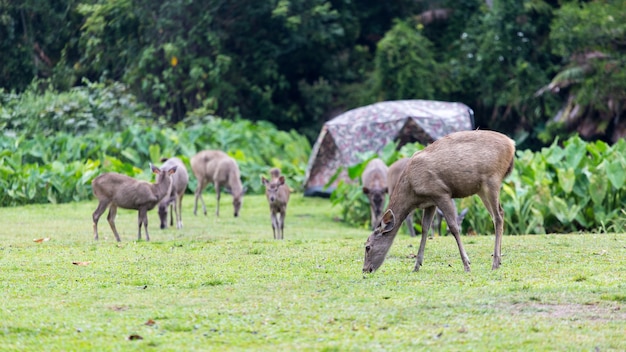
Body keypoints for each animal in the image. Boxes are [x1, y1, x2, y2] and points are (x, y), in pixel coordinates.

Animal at [364, 131, 516, 274]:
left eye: (367, 247)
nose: (365, 270)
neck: (412, 191)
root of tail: (512, 145)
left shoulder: (441, 192)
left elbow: (453, 227)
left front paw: (467, 264)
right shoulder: (430, 202)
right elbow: (425, 228)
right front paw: (416, 266)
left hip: (492, 179)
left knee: (498, 216)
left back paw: (495, 263)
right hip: (481, 189)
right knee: (498, 214)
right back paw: (499, 261)